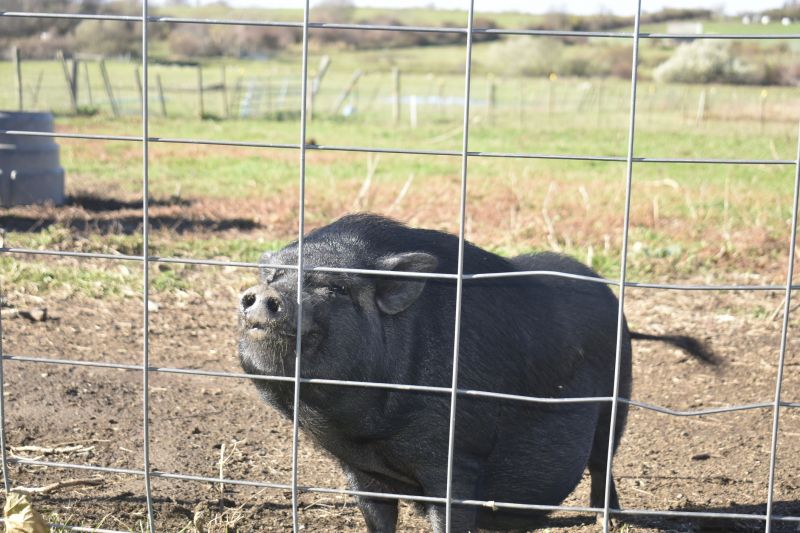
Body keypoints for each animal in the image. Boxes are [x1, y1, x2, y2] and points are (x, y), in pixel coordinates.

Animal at [238, 213, 710, 532]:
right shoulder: (359, 469)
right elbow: (377, 517)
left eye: (334, 287)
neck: (367, 435)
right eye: (274, 276)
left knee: (602, 461)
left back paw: (607, 519)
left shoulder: (457, 454)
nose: (259, 295)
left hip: (619, 398)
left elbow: (451, 514)